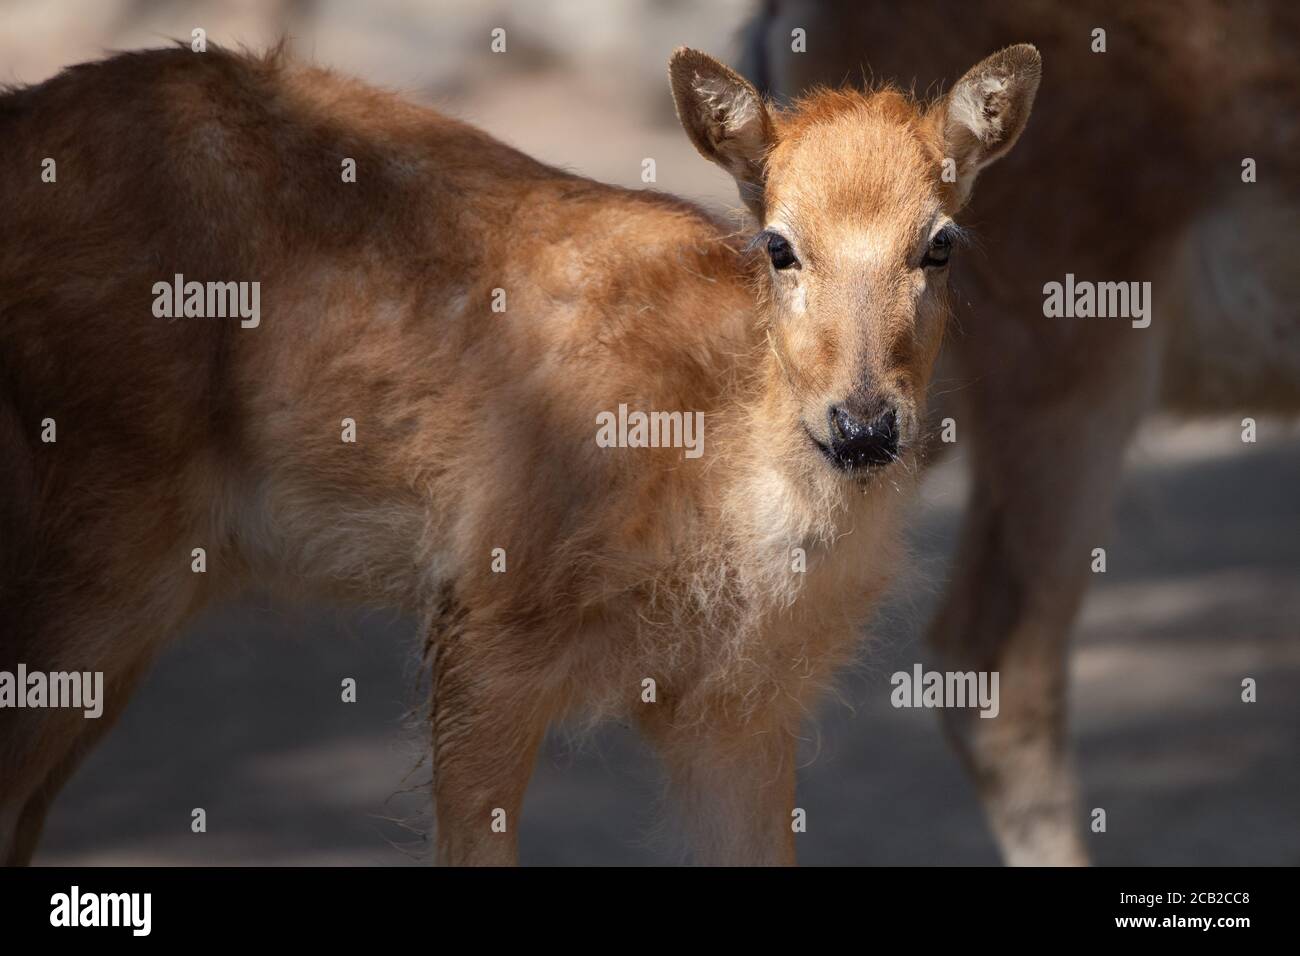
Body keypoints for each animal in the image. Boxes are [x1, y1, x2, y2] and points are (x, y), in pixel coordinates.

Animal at [0, 41, 1039, 865]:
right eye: (780, 246)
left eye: (940, 243)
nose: (864, 426)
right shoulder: (483, 622)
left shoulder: (740, 705)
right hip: (101, 526)